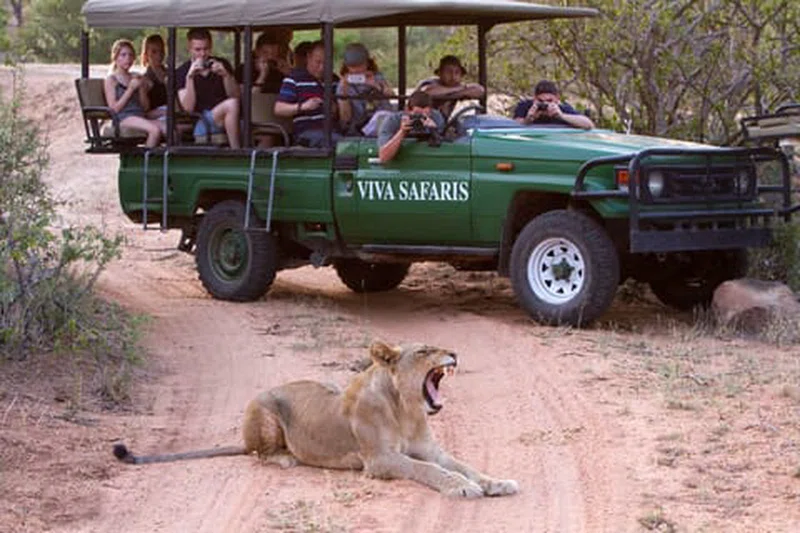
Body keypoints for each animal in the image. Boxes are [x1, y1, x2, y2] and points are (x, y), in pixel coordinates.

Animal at [113, 341, 519, 498]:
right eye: (423, 351)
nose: (454, 354)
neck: (407, 408)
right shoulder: (380, 460)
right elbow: (428, 470)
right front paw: (461, 488)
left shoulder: (432, 450)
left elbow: (463, 465)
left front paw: (497, 483)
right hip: (262, 409)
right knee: (257, 452)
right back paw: (285, 458)